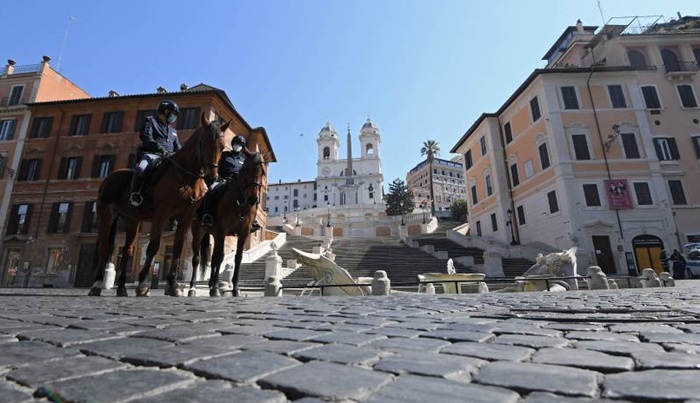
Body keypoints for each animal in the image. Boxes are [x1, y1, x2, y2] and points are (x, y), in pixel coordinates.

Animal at [88, 113, 227, 296]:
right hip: (106, 214)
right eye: (203, 142)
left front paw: (173, 285)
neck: (186, 177)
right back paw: (97, 285)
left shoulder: (186, 218)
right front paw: (142, 285)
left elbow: (178, 248)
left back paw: (122, 288)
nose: (212, 176)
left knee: (127, 250)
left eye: (222, 147)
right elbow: (153, 247)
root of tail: (110, 177)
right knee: (104, 248)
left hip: (132, 219)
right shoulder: (162, 214)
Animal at [189, 150, 266, 298]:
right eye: (246, 169)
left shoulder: (244, 232)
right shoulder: (222, 229)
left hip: (214, 233)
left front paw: (236, 289)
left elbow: (238, 258)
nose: (253, 199)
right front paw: (215, 289)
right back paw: (193, 288)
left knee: (213, 259)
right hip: (198, 230)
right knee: (196, 258)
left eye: (262, 172)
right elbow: (220, 256)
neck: (240, 201)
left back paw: (211, 284)